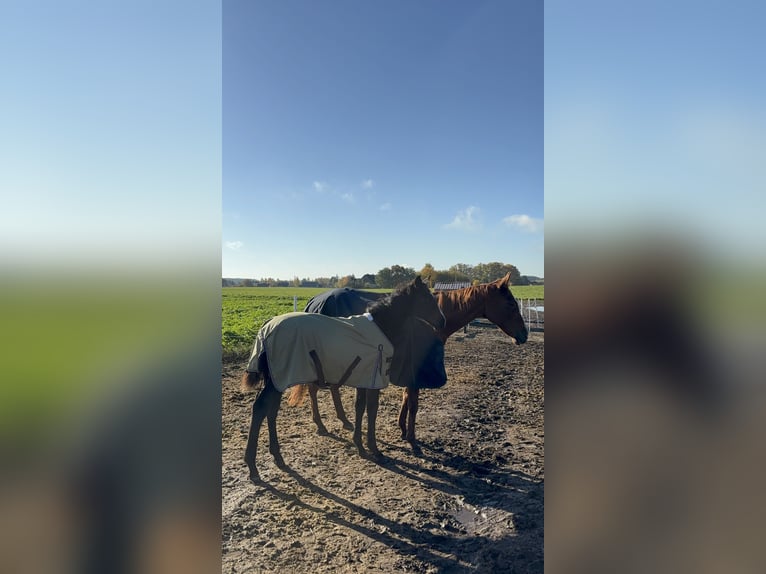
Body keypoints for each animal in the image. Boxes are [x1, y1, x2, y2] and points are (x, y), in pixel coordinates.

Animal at [240, 276, 446, 483]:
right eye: (427, 299)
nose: (442, 321)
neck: (379, 327)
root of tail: (266, 327)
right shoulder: (374, 379)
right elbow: (371, 410)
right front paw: (374, 450)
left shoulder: (364, 378)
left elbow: (360, 407)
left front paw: (360, 446)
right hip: (279, 379)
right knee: (260, 408)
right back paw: (253, 467)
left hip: (276, 380)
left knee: (271, 411)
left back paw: (277, 457)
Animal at [291, 272, 528, 447]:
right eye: (511, 305)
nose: (524, 335)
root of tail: (314, 301)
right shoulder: (416, 369)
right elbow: (413, 403)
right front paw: (411, 437)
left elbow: (406, 397)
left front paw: (403, 429)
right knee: (314, 389)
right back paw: (321, 424)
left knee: (330, 387)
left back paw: (344, 420)